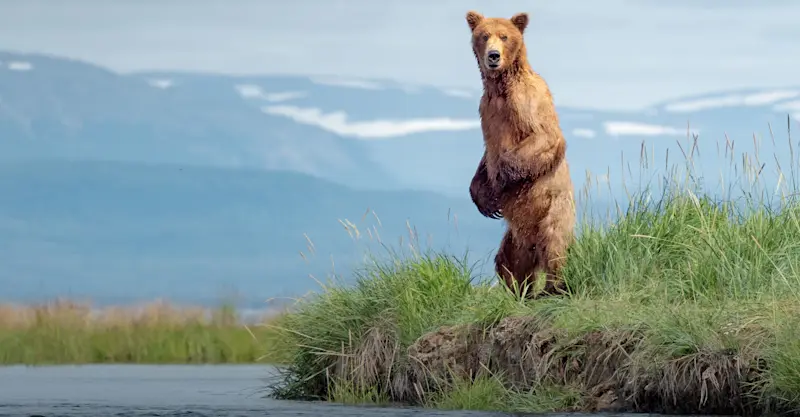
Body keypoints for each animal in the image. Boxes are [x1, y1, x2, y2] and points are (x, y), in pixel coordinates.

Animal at [465, 10, 576, 298]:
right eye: (484, 35)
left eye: (504, 36)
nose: (493, 56)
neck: (501, 88)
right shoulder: (487, 109)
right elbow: (486, 155)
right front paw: (481, 196)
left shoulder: (526, 100)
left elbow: (544, 137)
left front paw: (499, 184)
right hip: (516, 237)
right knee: (507, 261)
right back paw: (519, 291)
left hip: (553, 212)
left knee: (555, 248)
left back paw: (551, 289)